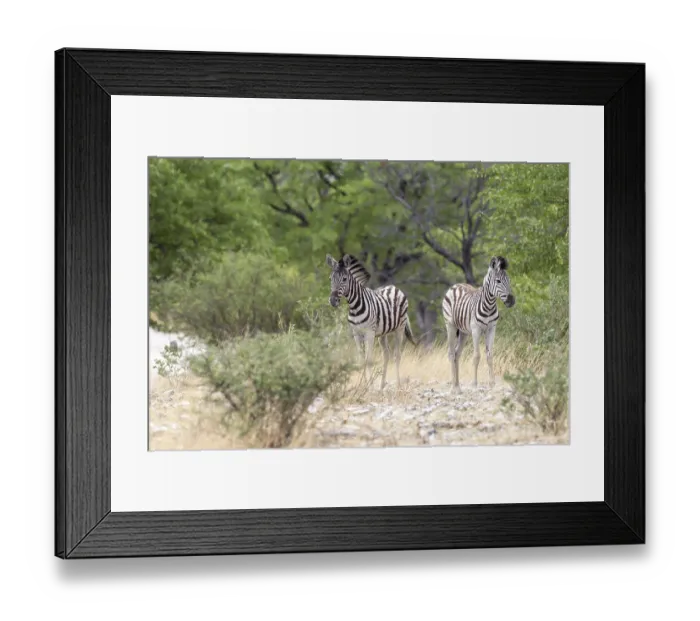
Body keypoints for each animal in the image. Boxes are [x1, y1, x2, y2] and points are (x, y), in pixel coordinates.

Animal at [325, 253, 417, 390]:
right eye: (331, 278)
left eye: (344, 279)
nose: (333, 300)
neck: (355, 307)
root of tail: (393, 287)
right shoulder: (356, 334)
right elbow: (361, 360)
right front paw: (362, 384)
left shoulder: (369, 333)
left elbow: (368, 360)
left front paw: (369, 386)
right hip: (383, 333)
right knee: (386, 355)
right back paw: (382, 385)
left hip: (399, 328)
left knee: (397, 355)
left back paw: (398, 384)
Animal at [442, 256, 516, 392]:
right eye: (498, 281)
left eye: (509, 280)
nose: (511, 300)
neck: (489, 305)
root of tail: (456, 285)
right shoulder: (476, 330)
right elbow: (476, 356)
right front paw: (475, 383)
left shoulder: (492, 329)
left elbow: (490, 356)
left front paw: (492, 383)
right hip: (450, 325)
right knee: (451, 354)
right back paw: (454, 387)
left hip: (464, 332)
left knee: (457, 354)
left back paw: (458, 385)